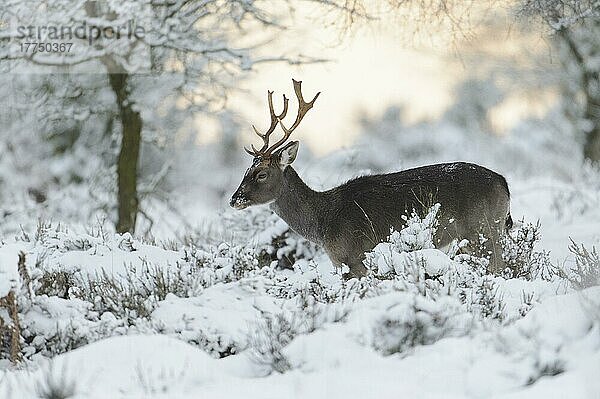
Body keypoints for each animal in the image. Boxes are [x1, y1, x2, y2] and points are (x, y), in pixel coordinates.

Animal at [230, 79, 510, 280]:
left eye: (261, 173)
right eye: (245, 171)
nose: (234, 200)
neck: (324, 222)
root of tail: (503, 183)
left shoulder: (353, 257)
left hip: (483, 229)